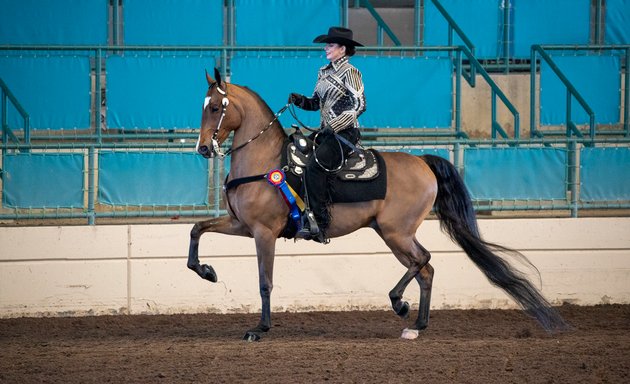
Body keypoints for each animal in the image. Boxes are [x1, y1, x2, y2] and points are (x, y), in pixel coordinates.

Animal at [188, 69, 568, 342]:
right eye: (203, 105)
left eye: (216, 107)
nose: (203, 148)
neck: (264, 161)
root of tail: (423, 162)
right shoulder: (241, 224)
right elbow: (197, 229)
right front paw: (207, 271)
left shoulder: (264, 232)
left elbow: (265, 281)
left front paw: (260, 328)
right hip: (395, 234)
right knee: (426, 268)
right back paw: (417, 325)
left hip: (395, 232)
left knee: (422, 260)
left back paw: (399, 303)